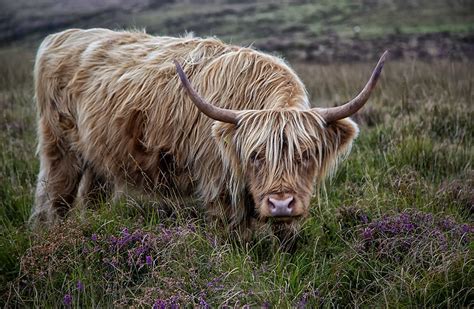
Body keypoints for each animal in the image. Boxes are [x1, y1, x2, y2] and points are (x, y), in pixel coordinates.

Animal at [30, 27, 386, 238]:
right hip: (58, 145)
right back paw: (49, 235)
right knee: (53, 197)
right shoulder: (220, 187)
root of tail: (62, 36)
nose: (281, 204)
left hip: (98, 154)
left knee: (91, 195)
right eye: (255, 156)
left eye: (306, 154)